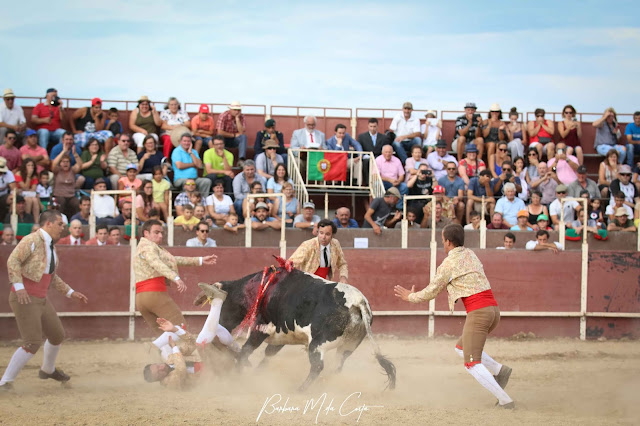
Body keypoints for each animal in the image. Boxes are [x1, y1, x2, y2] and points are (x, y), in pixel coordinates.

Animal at [194, 267, 396, 391]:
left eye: (224, 304)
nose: (220, 324)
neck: (260, 289)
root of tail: (358, 301)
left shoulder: (261, 329)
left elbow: (245, 352)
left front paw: (238, 375)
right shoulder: (279, 337)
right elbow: (268, 355)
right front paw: (256, 373)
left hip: (318, 344)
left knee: (317, 365)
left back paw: (300, 389)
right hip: (348, 346)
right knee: (337, 366)